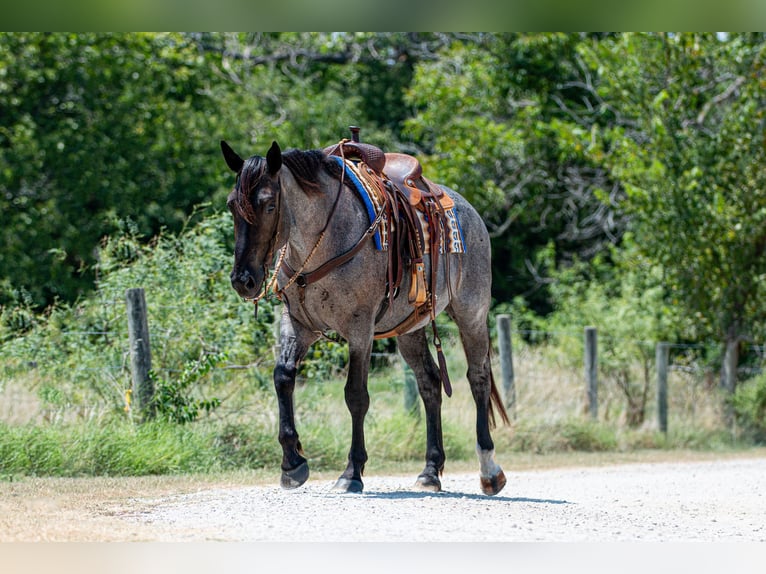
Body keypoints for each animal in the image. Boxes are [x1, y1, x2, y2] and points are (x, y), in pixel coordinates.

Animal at [222, 133, 510, 498]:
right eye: (232, 205)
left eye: (270, 205)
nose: (242, 280)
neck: (324, 240)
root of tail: (469, 210)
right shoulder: (298, 324)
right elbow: (283, 377)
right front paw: (292, 464)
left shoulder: (359, 330)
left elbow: (356, 395)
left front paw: (351, 472)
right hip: (408, 329)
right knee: (429, 383)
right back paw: (430, 471)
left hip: (471, 313)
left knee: (478, 379)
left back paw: (489, 470)